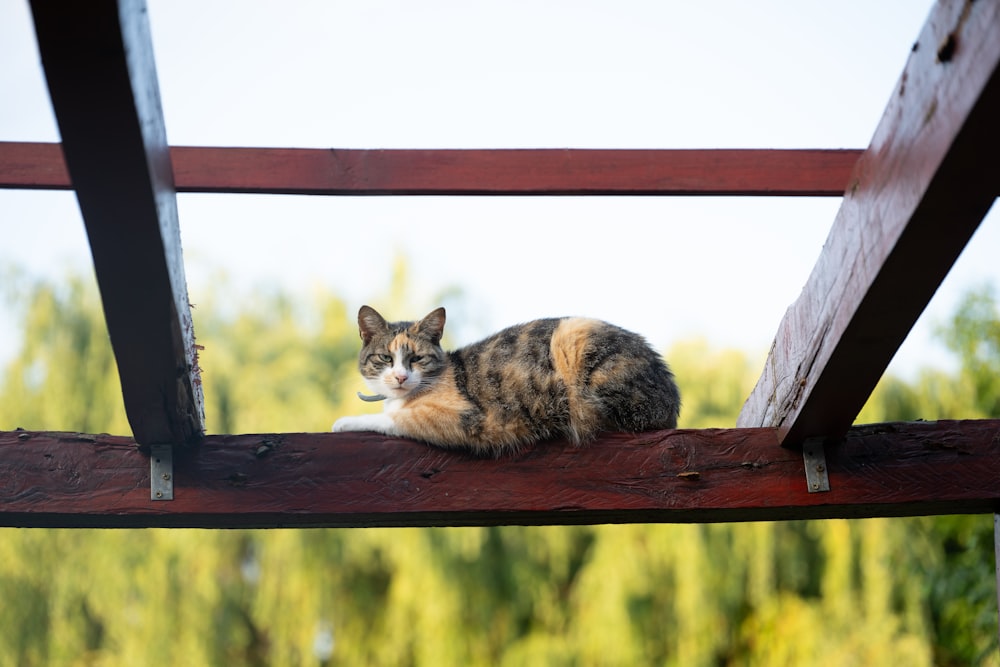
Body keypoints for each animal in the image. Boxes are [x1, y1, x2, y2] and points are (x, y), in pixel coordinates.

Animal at [334, 306, 680, 454]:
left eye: (416, 358)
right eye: (385, 358)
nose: (400, 376)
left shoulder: (461, 418)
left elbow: (394, 419)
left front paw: (344, 422)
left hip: (574, 337)